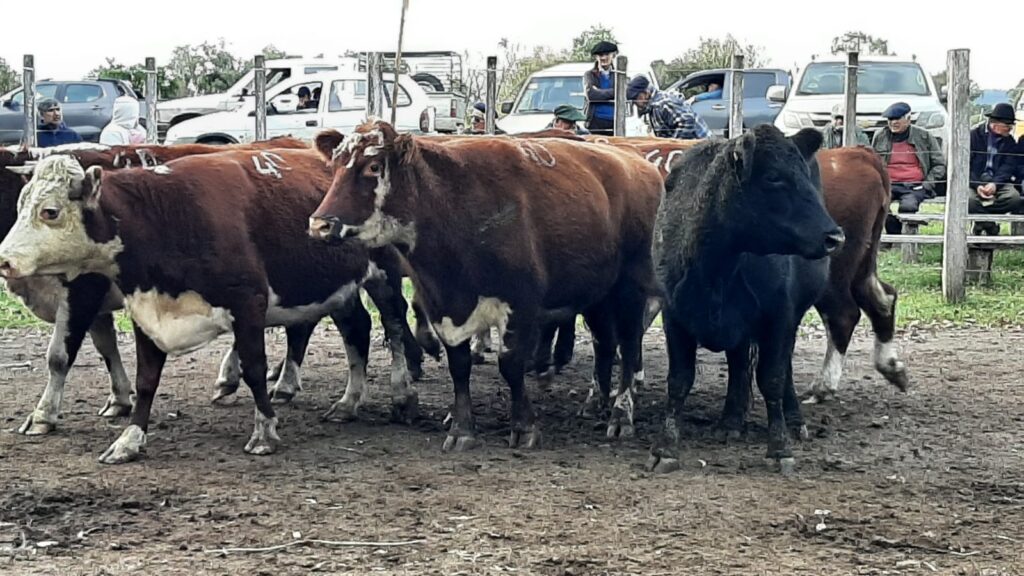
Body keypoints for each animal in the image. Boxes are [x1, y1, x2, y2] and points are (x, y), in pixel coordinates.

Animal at [0, 149, 422, 463]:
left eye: (50, 211)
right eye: (19, 204)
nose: (4, 260)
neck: (164, 215)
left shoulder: (248, 302)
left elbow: (255, 369)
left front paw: (265, 431)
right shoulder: (145, 309)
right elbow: (145, 378)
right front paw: (129, 439)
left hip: (383, 272)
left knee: (394, 326)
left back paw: (402, 393)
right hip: (337, 285)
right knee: (357, 331)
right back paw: (348, 402)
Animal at [308, 120, 665, 449]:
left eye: (372, 166)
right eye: (335, 166)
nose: (320, 224)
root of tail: (640, 164)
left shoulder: (520, 303)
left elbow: (511, 364)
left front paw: (524, 427)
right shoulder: (442, 305)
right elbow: (459, 366)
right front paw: (461, 429)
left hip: (631, 286)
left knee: (629, 347)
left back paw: (621, 415)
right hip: (597, 293)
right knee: (604, 342)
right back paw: (594, 403)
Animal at [645, 126, 846, 476]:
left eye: (803, 174)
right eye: (773, 177)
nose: (835, 236)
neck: (717, 266)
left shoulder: (778, 315)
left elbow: (773, 379)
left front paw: (780, 448)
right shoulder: (675, 316)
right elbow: (679, 380)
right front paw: (665, 448)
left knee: (782, 366)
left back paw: (793, 420)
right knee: (739, 363)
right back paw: (731, 421)